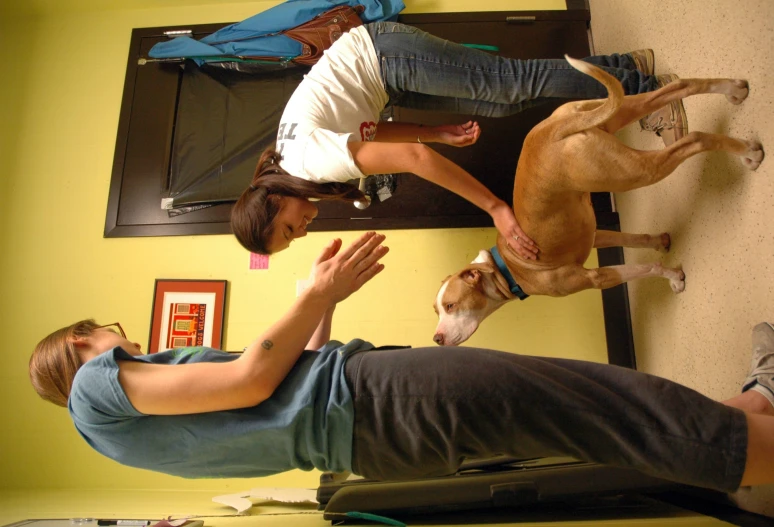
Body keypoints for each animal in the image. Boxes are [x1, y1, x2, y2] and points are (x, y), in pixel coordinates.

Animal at [434, 56, 768, 346]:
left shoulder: (595, 278)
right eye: (436, 310)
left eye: (450, 306)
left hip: (635, 172)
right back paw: (735, 89)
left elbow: (647, 269)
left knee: (695, 140)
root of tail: (553, 131)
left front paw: (673, 277)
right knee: (678, 87)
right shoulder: (595, 234)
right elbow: (634, 238)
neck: (506, 267)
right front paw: (660, 241)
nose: (435, 338)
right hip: (619, 112)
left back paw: (749, 153)